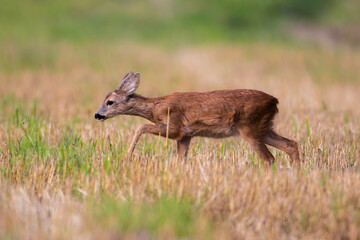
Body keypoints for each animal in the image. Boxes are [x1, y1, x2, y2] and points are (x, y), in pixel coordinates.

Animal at [94, 72, 300, 164]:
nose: (97, 115)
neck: (156, 108)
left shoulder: (174, 127)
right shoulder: (186, 135)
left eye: (110, 102)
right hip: (263, 128)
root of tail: (274, 101)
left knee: (269, 158)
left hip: (250, 127)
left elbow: (140, 127)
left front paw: (127, 155)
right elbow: (180, 159)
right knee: (290, 144)